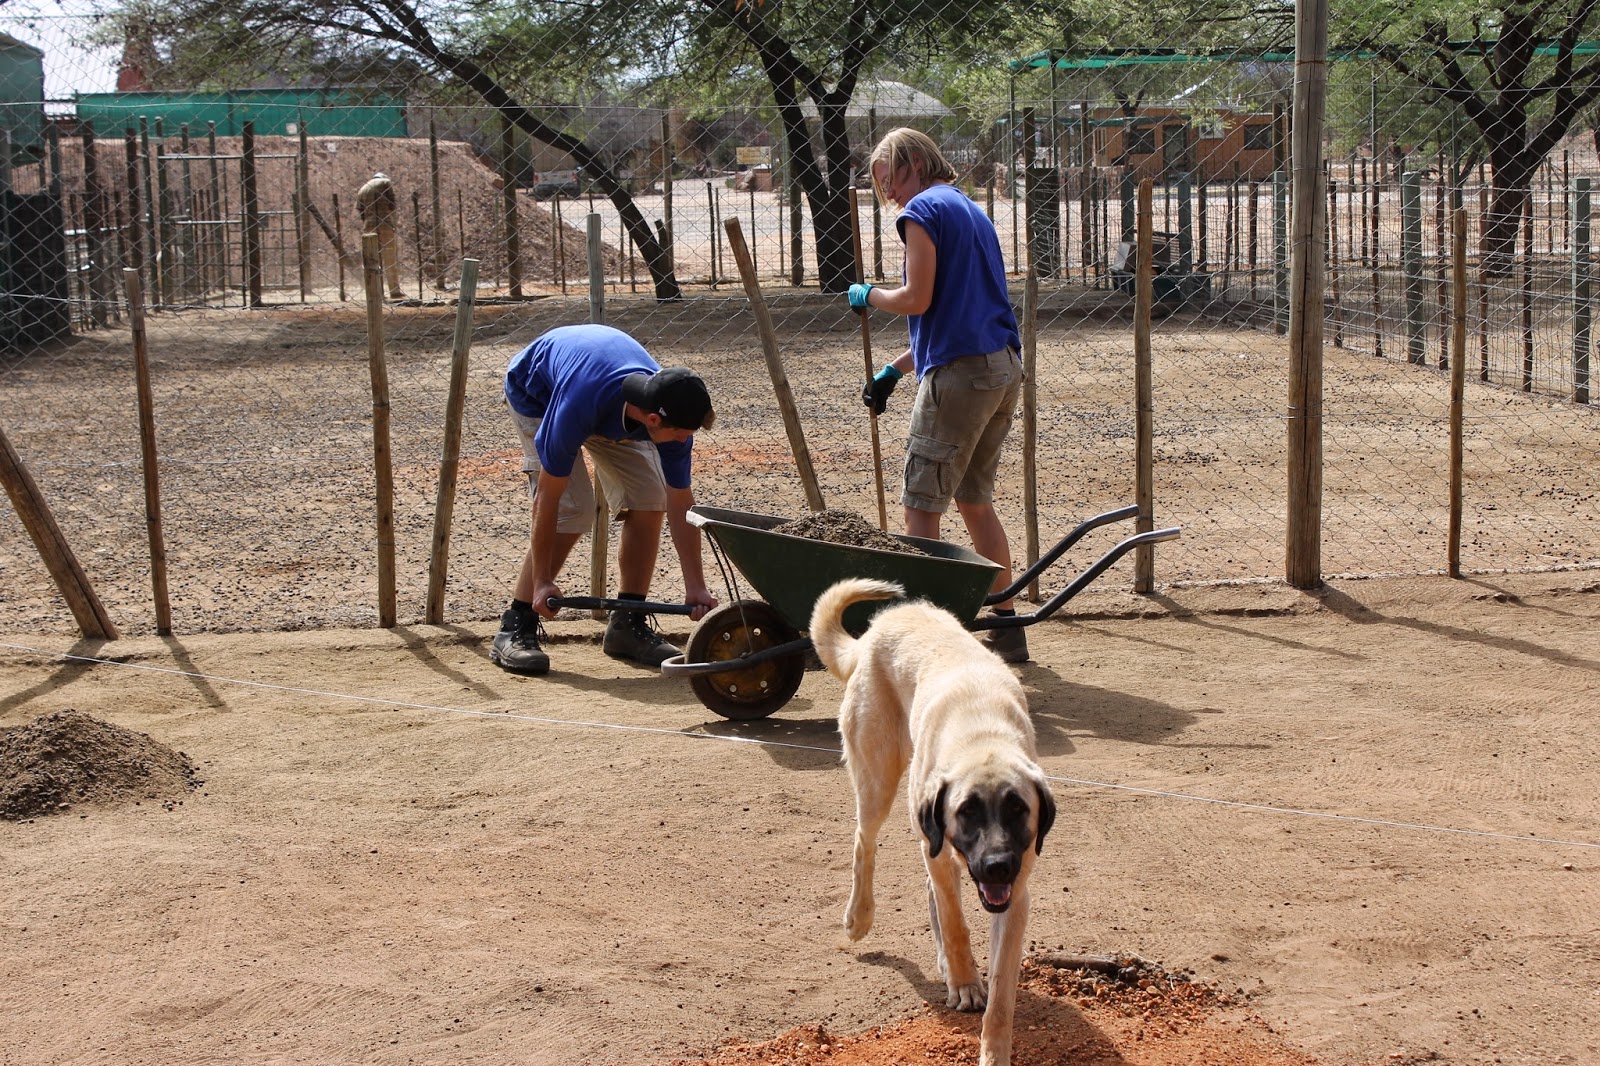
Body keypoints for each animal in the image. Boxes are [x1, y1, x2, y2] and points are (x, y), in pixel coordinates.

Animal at [810, 578, 1056, 1066]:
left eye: (1018, 809)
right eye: (967, 811)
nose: (997, 866)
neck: (982, 736)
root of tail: (880, 626)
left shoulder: (1016, 893)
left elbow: (1003, 992)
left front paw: (993, 1050)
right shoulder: (940, 849)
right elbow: (956, 923)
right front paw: (964, 983)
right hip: (880, 782)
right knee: (864, 843)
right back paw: (859, 918)